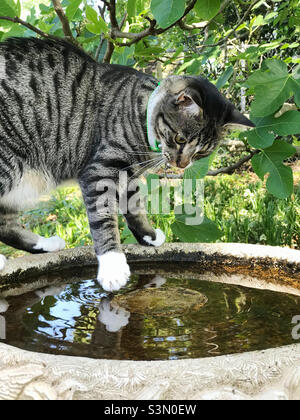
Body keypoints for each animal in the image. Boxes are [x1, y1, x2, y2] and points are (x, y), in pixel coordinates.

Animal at [0, 37, 254, 290]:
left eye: (202, 151)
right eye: (180, 139)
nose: (181, 164)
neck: (140, 115)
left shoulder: (127, 177)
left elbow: (134, 207)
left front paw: (149, 236)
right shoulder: (100, 171)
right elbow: (104, 219)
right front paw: (112, 265)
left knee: (6, 225)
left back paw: (46, 244)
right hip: (7, 165)